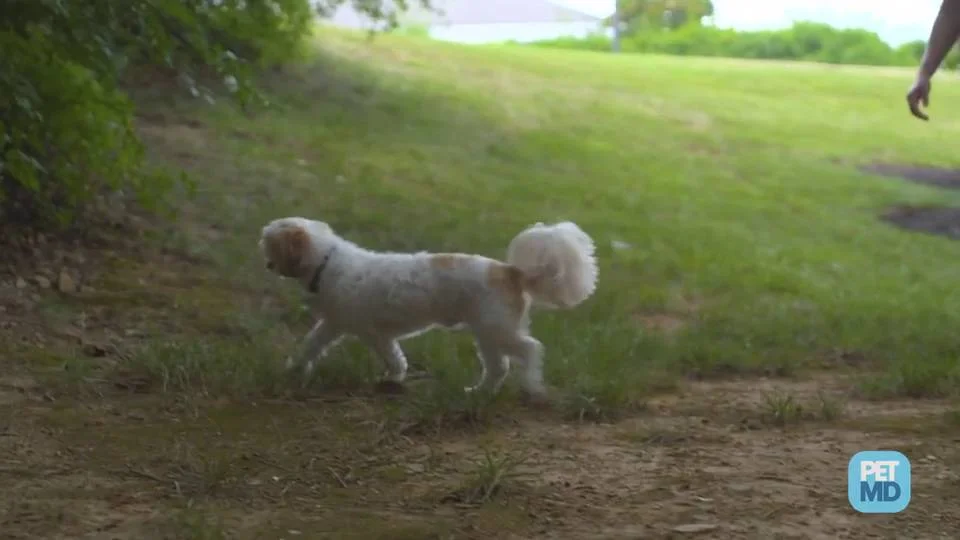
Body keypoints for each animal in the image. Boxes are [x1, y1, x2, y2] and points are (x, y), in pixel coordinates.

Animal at [258, 216, 596, 400]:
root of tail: (511, 271)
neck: (328, 262)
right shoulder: (334, 324)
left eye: (269, 243)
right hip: (487, 335)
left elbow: (393, 358)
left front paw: (393, 377)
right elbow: (311, 345)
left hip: (496, 330)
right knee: (499, 367)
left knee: (531, 349)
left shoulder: (373, 334)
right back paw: (479, 393)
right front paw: (295, 369)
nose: (267, 264)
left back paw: (531, 386)